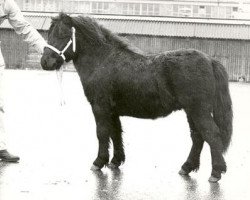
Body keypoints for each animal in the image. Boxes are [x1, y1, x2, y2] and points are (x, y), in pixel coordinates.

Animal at [41, 12, 232, 181]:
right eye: (49, 33)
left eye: (63, 34)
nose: (45, 62)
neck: (103, 60)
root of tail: (210, 60)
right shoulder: (113, 111)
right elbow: (115, 133)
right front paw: (115, 161)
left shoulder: (100, 107)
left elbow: (102, 133)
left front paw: (99, 162)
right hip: (191, 111)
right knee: (198, 136)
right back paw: (187, 167)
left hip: (198, 110)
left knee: (211, 135)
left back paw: (215, 173)